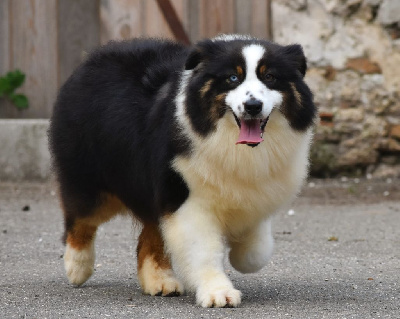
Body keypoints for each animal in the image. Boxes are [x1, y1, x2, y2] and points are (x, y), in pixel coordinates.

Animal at [47, 34, 316, 308]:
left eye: (270, 77)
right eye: (232, 78)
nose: (252, 105)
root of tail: (91, 60)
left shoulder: (255, 194)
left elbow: (256, 251)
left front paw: (241, 256)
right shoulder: (187, 199)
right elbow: (203, 250)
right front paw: (218, 292)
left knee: (148, 236)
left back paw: (159, 281)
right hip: (93, 183)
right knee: (80, 221)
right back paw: (77, 267)